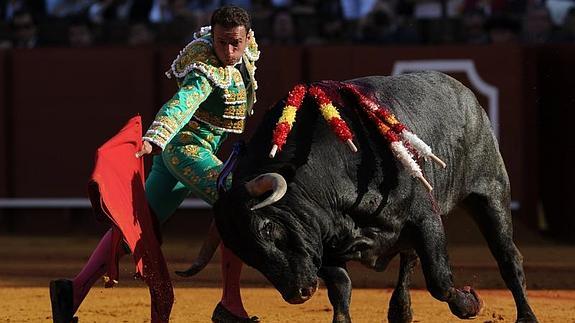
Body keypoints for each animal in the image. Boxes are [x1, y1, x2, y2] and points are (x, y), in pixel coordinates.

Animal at [213, 72, 540, 322]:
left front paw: (471, 304)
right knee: (409, 257)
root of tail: (466, 94)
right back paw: (400, 311)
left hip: (490, 191)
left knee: (508, 256)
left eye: (268, 228)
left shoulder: (425, 216)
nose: (298, 294)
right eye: (244, 252)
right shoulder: (325, 240)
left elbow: (440, 280)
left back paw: (526, 316)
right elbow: (341, 289)